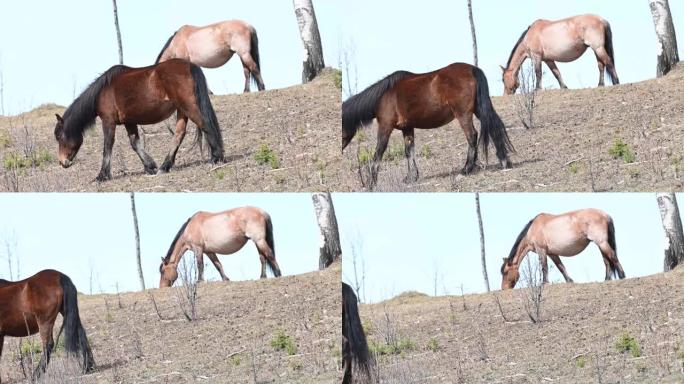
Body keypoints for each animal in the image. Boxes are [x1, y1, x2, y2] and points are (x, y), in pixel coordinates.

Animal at [54, 58, 224, 182]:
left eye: (60, 136)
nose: (62, 162)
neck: (103, 91)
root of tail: (190, 65)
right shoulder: (130, 122)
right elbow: (135, 143)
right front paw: (150, 167)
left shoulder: (108, 122)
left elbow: (107, 146)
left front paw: (102, 175)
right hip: (182, 111)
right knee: (179, 135)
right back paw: (164, 167)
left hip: (189, 107)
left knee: (206, 125)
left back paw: (216, 157)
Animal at [342, 62, 512, 188]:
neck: (384, 97)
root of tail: (472, 69)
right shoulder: (407, 128)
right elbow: (409, 152)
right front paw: (411, 177)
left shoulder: (385, 127)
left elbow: (378, 153)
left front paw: (371, 183)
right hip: (479, 110)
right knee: (494, 128)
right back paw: (504, 162)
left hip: (463, 114)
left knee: (472, 136)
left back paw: (466, 169)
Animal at [500, 208, 628, 290]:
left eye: (505, 272)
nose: (504, 289)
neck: (533, 229)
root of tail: (605, 215)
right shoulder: (552, 253)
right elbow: (561, 267)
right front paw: (569, 281)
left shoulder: (541, 250)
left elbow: (544, 267)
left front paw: (544, 283)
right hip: (600, 244)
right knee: (607, 260)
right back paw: (607, 279)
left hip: (601, 243)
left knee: (612, 256)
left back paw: (622, 276)